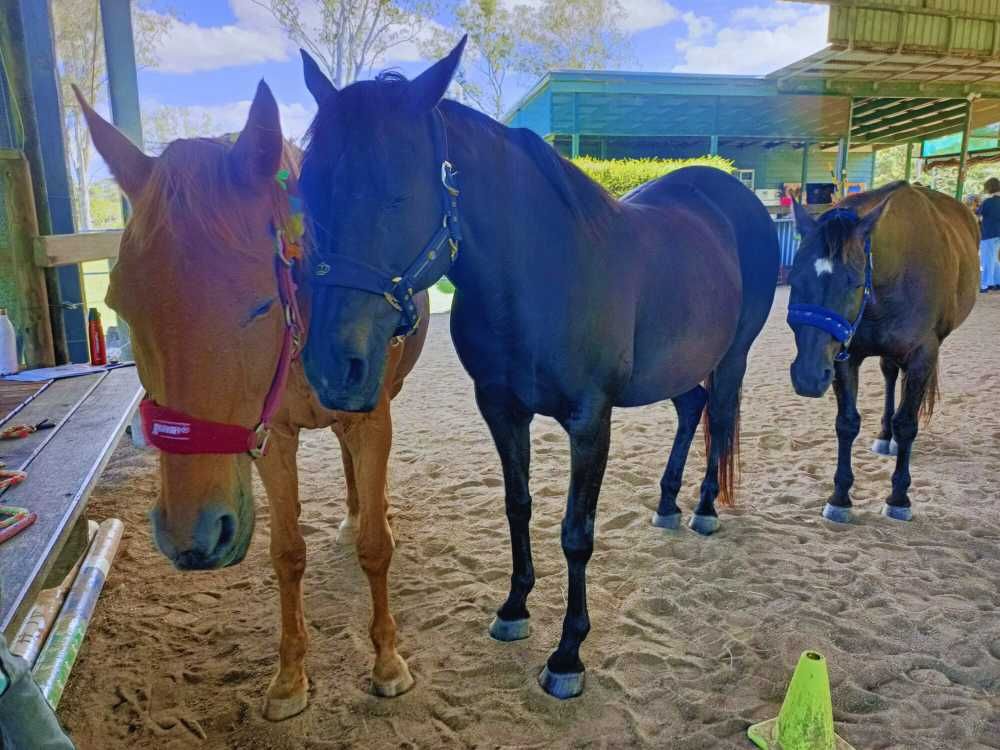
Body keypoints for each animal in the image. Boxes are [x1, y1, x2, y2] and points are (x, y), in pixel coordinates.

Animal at [75, 81, 428, 719]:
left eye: (262, 304)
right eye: (118, 302)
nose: (189, 537)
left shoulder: (371, 419)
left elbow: (376, 547)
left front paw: (388, 662)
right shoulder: (273, 437)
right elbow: (286, 553)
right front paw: (289, 678)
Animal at [296, 39, 779, 699]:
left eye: (396, 191)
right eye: (306, 190)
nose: (330, 367)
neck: (537, 273)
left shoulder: (590, 422)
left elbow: (577, 532)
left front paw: (568, 654)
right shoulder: (501, 411)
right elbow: (517, 505)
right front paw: (514, 608)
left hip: (732, 358)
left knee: (721, 417)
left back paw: (704, 508)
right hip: (679, 367)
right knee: (693, 410)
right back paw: (668, 503)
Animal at [788, 182, 978, 523]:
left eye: (853, 282)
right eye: (795, 278)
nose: (808, 376)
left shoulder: (922, 355)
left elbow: (907, 423)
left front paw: (899, 497)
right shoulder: (844, 358)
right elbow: (847, 423)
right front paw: (840, 496)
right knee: (890, 374)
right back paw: (885, 434)